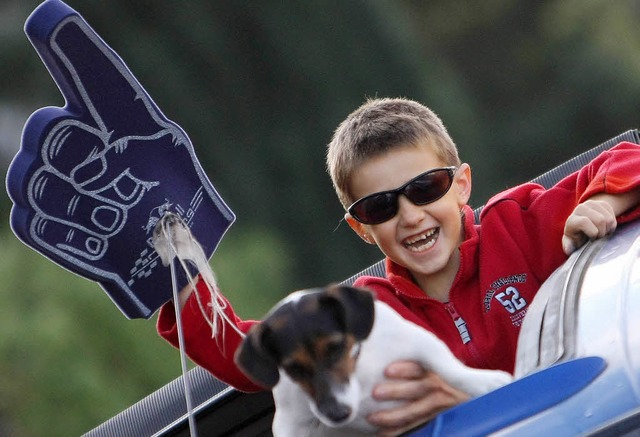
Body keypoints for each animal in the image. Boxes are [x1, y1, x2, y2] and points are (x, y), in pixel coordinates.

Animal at [232, 284, 512, 434]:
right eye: (293, 369)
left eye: (335, 347)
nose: (337, 414)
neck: (357, 372)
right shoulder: (292, 424)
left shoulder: (417, 340)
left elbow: (446, 366)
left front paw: (484, 382)